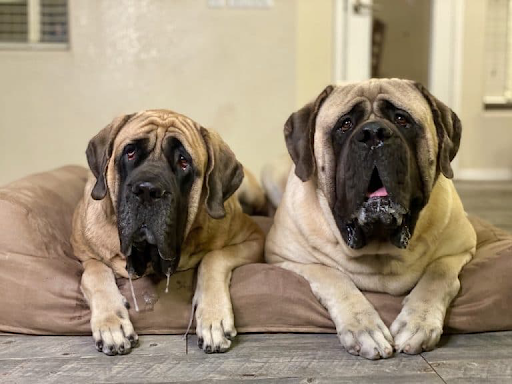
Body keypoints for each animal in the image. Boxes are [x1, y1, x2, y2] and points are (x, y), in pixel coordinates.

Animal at [71, 109, 264, 356]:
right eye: (130, 152)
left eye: (183, 161)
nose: (147, 191)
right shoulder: (84, 253)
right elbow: (94, 272)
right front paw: (111, 322)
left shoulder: (253, 238)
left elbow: (214, 257)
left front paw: (213, 317)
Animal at [266, 79, 478, 360]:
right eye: (344, 124)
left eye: (402, 119)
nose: (373, 134)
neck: (379, 246)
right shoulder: (286, 258)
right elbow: (333, 277)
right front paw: (364, 328)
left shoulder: (460, 249)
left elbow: (438, 275)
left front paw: (418, 322)